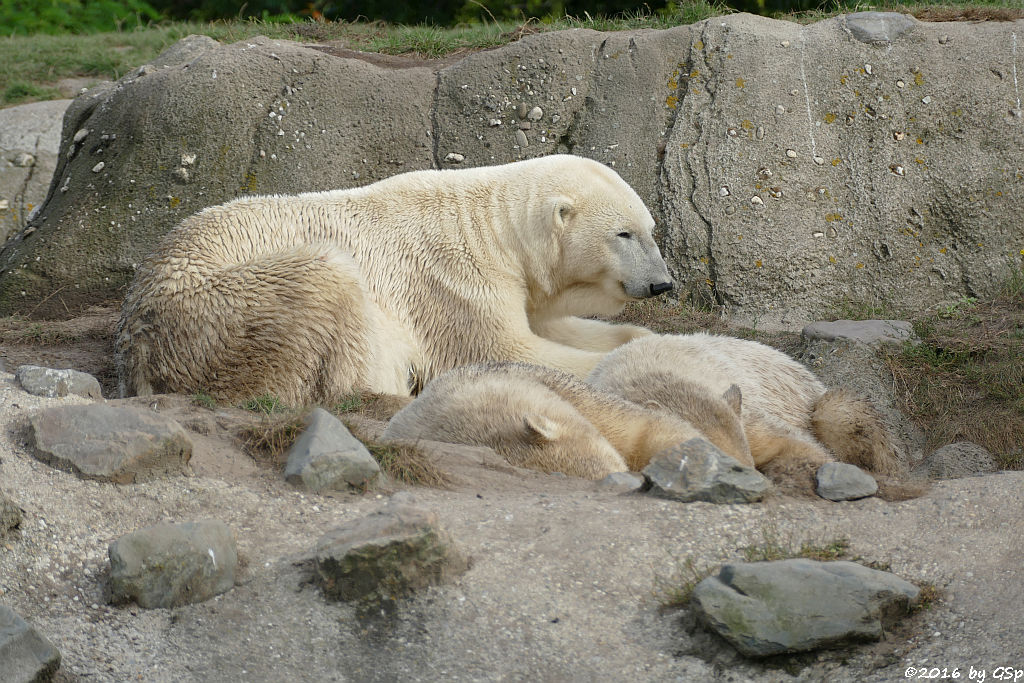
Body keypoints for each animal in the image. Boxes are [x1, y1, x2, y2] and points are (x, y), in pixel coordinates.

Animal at [116, 154, 671, 405]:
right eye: (623, 234)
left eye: (651, 229)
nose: (662, 284)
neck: (493, 231)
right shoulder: (452, 283)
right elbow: (505, 350)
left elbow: (555, 327)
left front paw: (641, 339)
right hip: (221, 313)